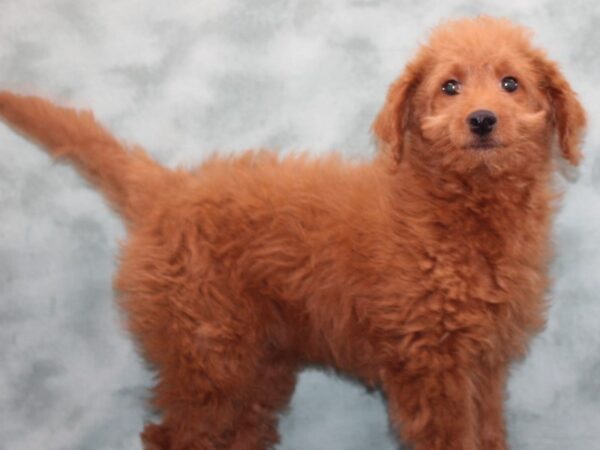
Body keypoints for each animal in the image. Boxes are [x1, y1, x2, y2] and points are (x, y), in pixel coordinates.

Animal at [0, 14, 584, 450]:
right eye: (450, 87)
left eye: (511, 84)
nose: (482, 119)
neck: (461, 213)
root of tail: (166, 189)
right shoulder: (432, 365)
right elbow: (454, 439)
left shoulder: (484, 364)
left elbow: (489, 434)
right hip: (207, 353)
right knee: (174, 435)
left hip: (258, 361)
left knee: (240, 432)